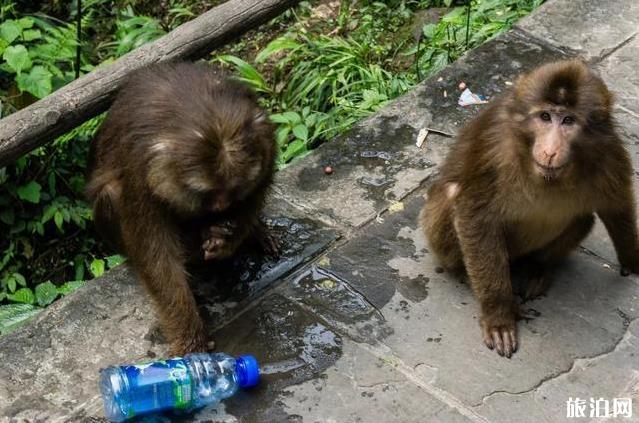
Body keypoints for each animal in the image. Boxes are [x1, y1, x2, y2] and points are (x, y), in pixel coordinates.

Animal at [86, 61, 276, 356]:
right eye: (206, 193)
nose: (221, 207)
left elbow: (258, 187)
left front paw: (230, 238)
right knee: (111, 194)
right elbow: (157, 257)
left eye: (233, 190)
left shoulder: (264, 136)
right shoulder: (140, 167)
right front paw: (191, 339)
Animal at [420, 58, 639, 358]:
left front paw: (633, 261)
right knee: (454, 196)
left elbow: (617, 207)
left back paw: (538, 268)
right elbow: (476, 216)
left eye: (568, 120)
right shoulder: (494, 149)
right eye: (545, 117)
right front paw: (499, 315)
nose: (550, 150)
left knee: (582, 218)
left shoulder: (609, 151)